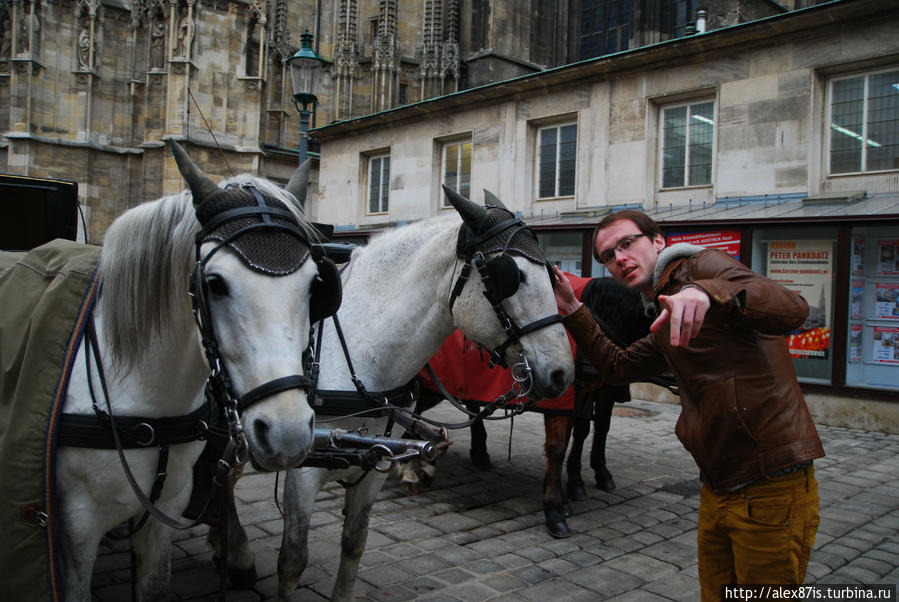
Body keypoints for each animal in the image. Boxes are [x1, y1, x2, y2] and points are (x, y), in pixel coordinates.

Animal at [47, 142, 326, 600]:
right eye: (214, 283)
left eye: (314, 285)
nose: (287, 433)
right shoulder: (74, 526)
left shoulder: (166, 506)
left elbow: (156, 584)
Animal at [256, 185, 572, 596]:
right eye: (510, 276)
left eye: (550, 273)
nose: (563, 372)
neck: (357, 357)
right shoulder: (302, 472)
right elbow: (292, 561)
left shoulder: (375, 463)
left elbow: (354, 543)